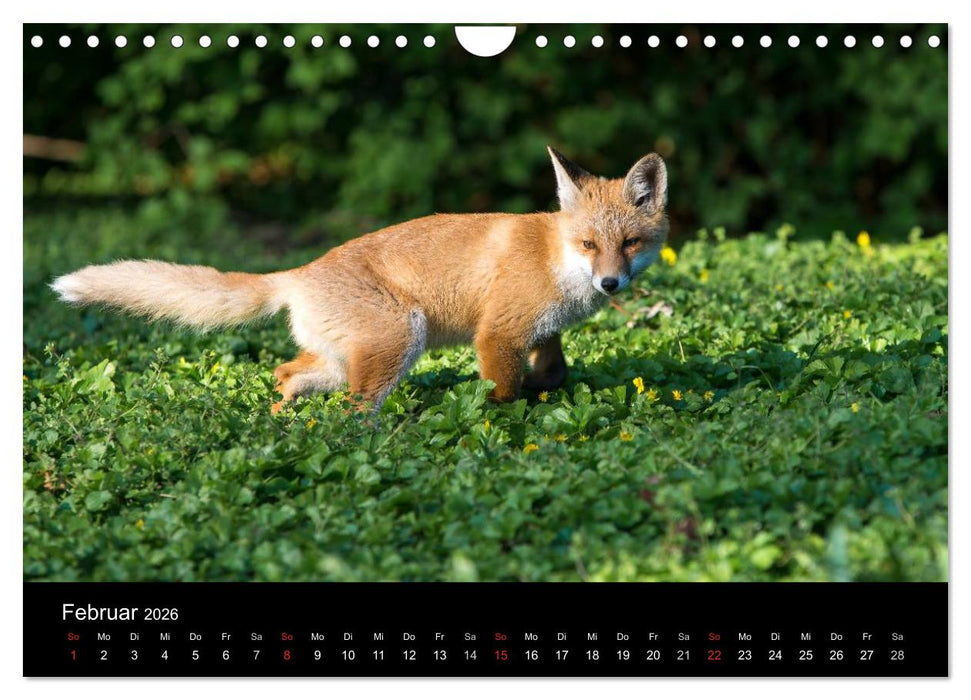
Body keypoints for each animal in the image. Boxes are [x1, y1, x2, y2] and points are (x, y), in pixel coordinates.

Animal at [52, 147, 669, 413]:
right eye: (588, 245)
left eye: (629, 244)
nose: (610, 285)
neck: (553, 257)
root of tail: (298, 271)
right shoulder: (497, 334)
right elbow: (502, 393)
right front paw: (500, 426)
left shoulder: (540, 333)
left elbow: (555, 373)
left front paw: (545, 392)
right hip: (400, 338)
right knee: (352, 414)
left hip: (343, 358)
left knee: (285, 373)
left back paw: (282, 421)